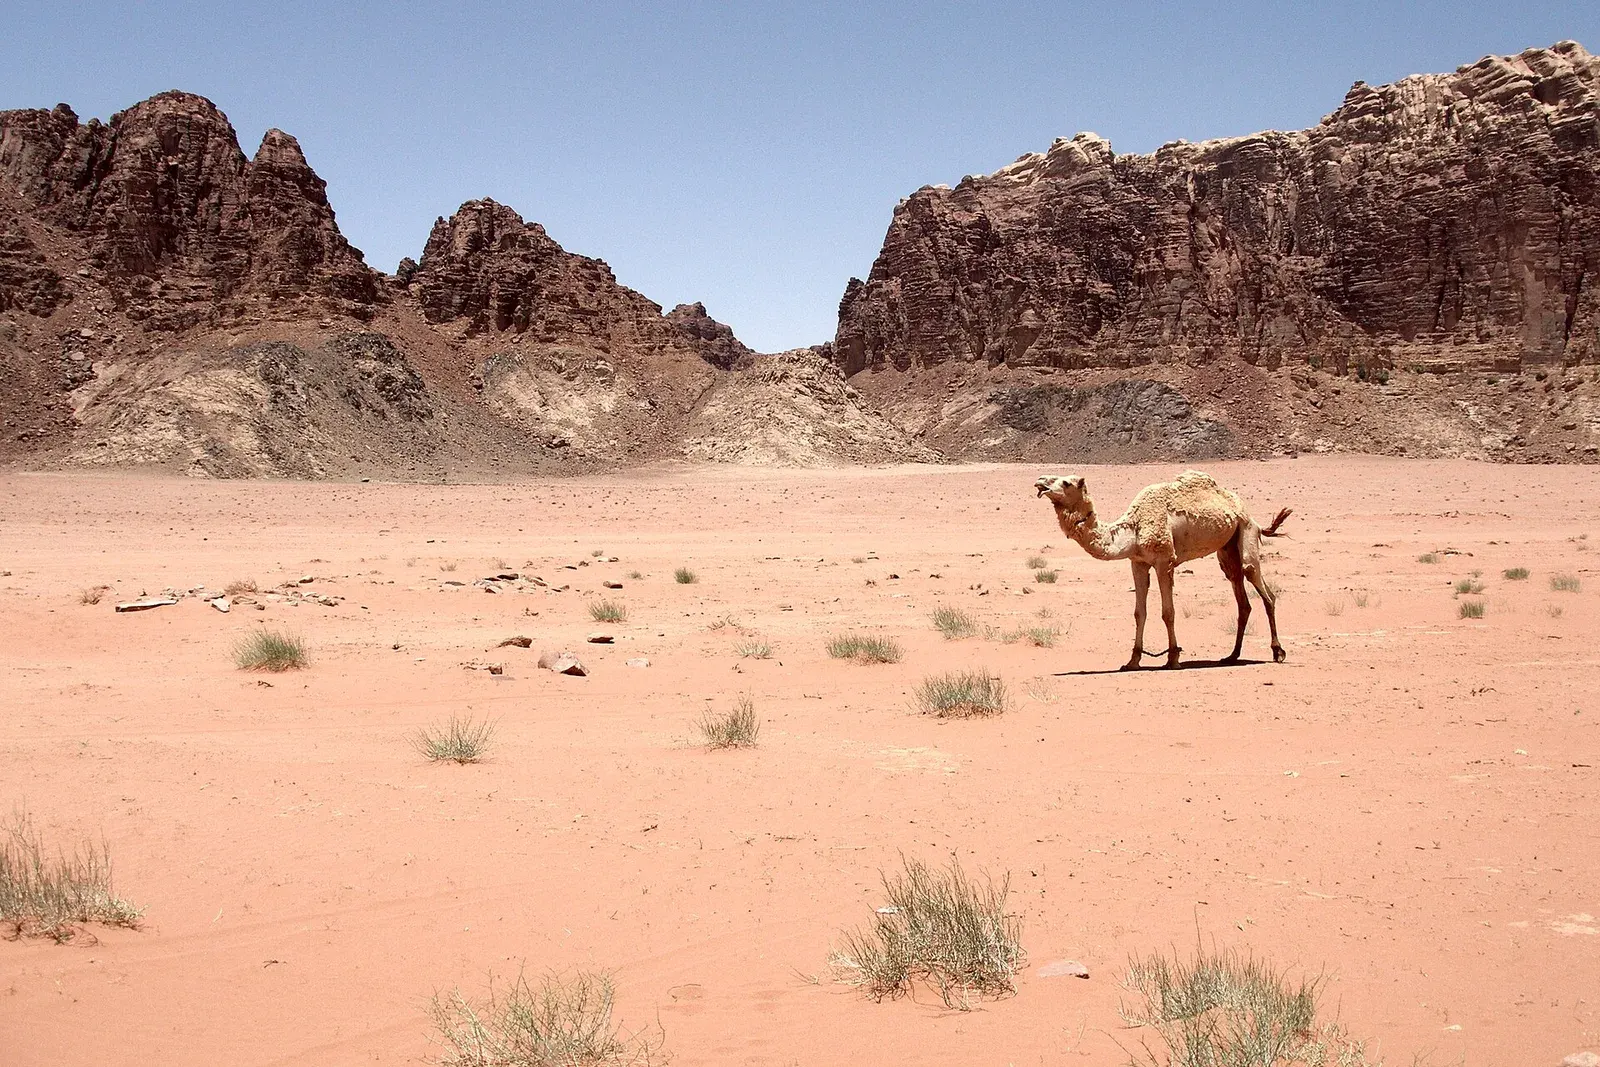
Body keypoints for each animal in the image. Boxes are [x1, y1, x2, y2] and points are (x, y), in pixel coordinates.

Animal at [1034, 470, 1291, 670]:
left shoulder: (1164, 561)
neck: (1134, 528)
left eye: (1066, 482)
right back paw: (1232, 655)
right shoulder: (1137, 563)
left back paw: (1277, 652)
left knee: (1261, 586)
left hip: (1246, 531)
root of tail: (1251, 516)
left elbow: (1168, 612)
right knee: (1241, 595)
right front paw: (1132, 661)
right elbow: (1139, 613)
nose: (1040, 482)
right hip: (1227, 549)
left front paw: (1173, 658)